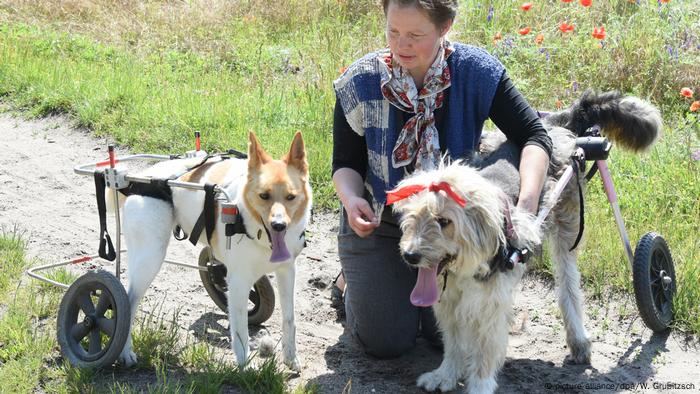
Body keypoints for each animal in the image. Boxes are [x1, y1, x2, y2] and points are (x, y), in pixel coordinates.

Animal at [113, 132, 310, 370]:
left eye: (291, 197)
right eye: (264, 196)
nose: (279, 225)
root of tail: (141, 178)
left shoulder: (287, 271)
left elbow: (289, 319)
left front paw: (291, 358)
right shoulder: (238, 282)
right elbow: (240, 330)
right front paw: (245, 366)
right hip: (150, 260)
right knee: (128, 303)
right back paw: (125, 352)